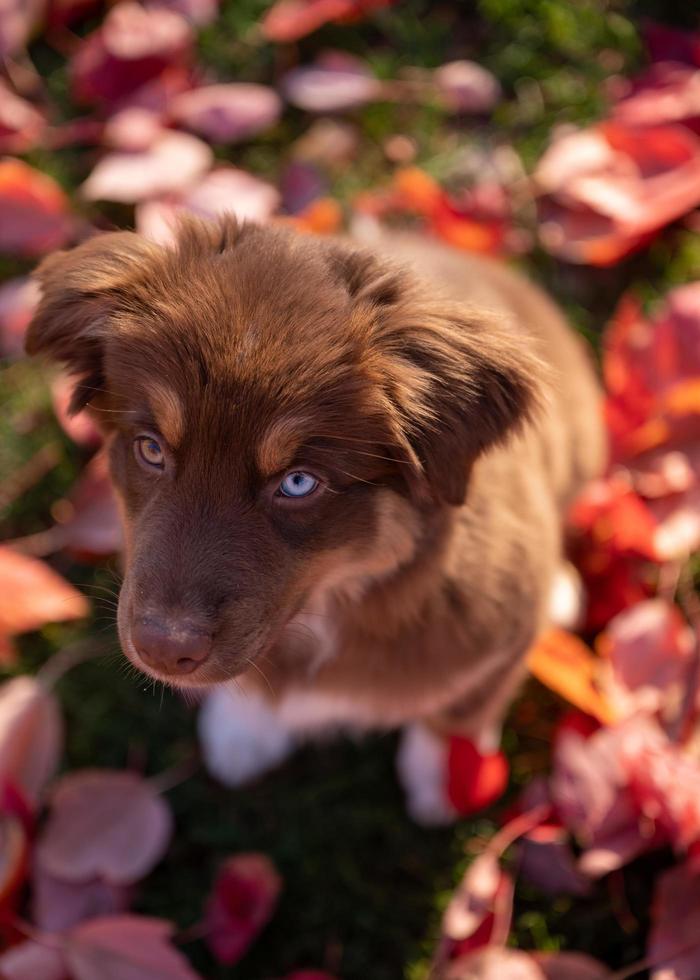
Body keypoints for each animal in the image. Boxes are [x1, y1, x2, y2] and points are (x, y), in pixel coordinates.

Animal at [27, 218, 604, 824]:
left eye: (299, 482)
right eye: (151, 449)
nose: (162, 650)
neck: (336, 602)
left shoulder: (502, 633)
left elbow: (461, 711)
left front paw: (443, 778)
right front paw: (244, 729)